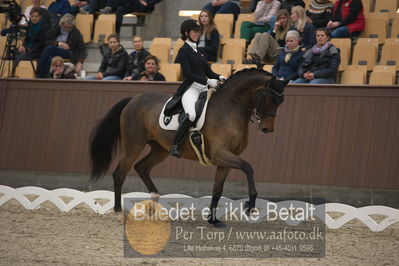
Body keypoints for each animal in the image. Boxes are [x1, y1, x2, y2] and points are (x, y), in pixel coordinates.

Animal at [89, 68, 290, 224]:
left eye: (281, 102)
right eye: (270, 98)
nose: (267, 129)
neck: (230, 109)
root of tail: (133, 99)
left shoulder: (225, 160)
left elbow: (217, 189)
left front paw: (213, 220)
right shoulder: (220, 154)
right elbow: (248, 167)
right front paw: (250, 205)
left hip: (160, 149)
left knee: (142, 167)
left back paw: (155, 200)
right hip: (133, 145)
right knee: (120, 173)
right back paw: (117, 210)